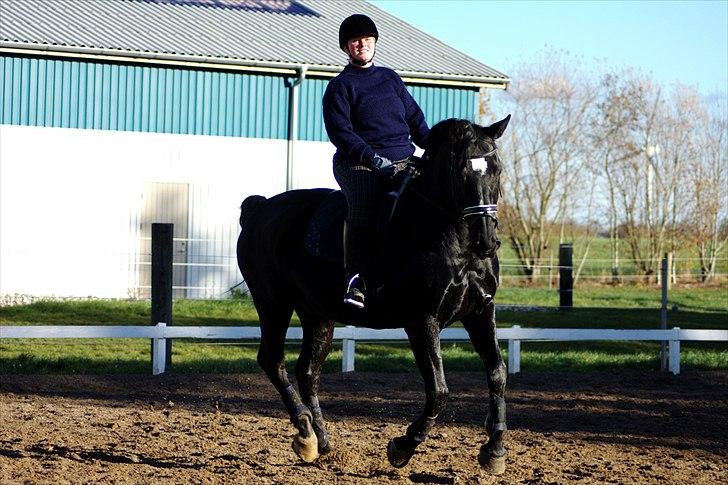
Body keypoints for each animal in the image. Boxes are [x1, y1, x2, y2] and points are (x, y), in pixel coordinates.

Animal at [239, 114, 512, 472]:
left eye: (496, 168)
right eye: (459, 171)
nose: (486, 241)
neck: (455, 243)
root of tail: (259, 209)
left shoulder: (481, 312)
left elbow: (497, 373)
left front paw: (494, 450)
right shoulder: (422, 320)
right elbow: (439, 390)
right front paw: (402, 446)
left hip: (318, 313)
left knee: (308, 371)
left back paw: (321, 442)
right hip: (273, 303)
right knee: (273, 360)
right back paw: (305, 434)